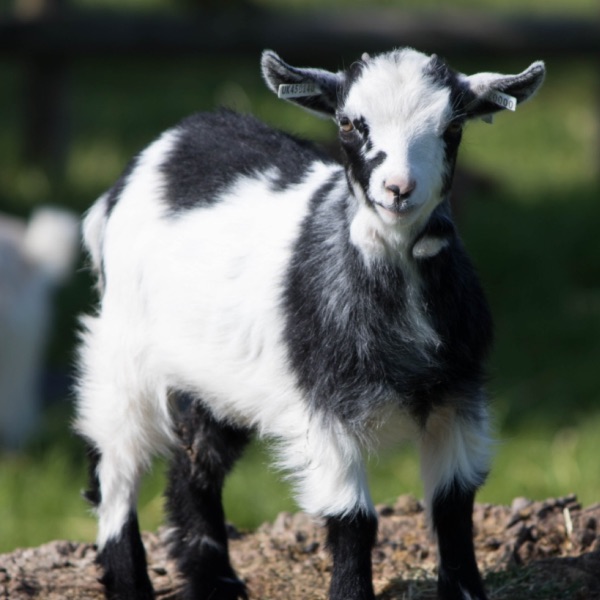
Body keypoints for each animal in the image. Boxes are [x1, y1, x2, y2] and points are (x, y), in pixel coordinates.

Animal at [74, 48, 544, 600]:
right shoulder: (324, 409)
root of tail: (164, 147)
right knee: (115, 471)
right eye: (348, 123)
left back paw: (217, 583)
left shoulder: (459, 399)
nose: (398, 189)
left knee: (195, 465)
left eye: (452, 127)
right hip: (121, 354)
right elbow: (353, 519)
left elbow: (453, 504)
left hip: (215, 377)